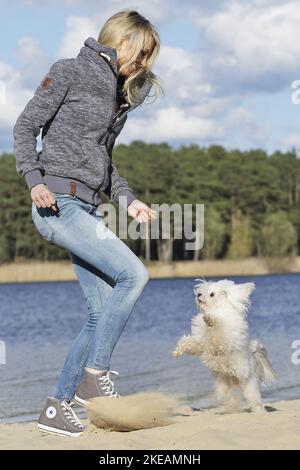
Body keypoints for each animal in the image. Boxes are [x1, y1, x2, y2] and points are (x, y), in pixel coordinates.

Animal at [172, 280, 276, 412]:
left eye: (211, 294)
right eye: (203, 290)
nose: (199, 294)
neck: (218, 309)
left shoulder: (224, 338)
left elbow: (218, 330)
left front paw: (210, 319)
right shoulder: (201, 341)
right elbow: (191, 343)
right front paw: (178, 351)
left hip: (249, 385)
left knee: (255, 400)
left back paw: (259, 411)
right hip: (222, 387)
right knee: (228, 398)